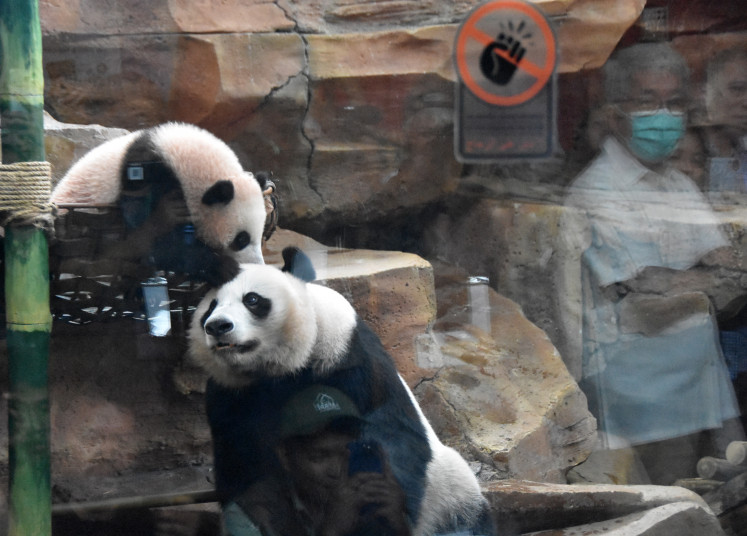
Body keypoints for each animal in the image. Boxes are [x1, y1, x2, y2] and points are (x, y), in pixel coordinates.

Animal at [51, 122, 272, 271]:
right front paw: (222, 267)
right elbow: (154, 239)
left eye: (260, 235)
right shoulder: (146, 176)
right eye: (241, 239)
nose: (258, 265)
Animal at [188, 247, 494, 536]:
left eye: (252, 300)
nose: (217, 326)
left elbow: (386, 444)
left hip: (449, 492)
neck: (277, 370)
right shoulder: (231, 397)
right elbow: (249, 474)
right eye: (210, 307)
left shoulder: (349, 363)